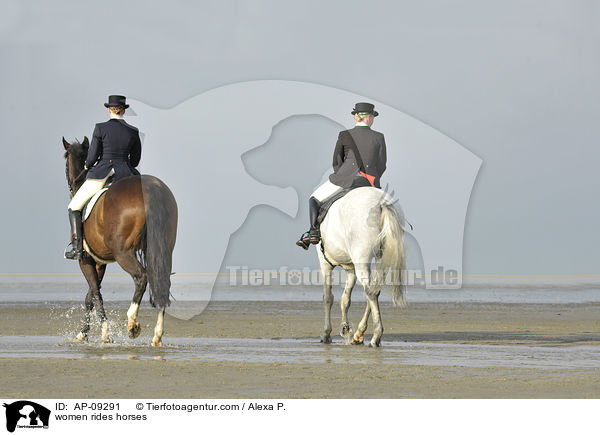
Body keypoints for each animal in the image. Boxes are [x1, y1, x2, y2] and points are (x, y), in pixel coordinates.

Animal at [64, 138, 179, 346]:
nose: (72, 186)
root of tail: (151, 189)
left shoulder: (85, 259)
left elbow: (95, 294)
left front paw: (104, 332)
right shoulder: (99, 262)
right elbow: (90, 296)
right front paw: (82, 333)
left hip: (123, 253)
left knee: (141, 277)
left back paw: (132, 323)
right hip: (165, 249)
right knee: (162, 280)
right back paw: (157, 335)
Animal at [316, 186, 406, 348]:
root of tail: (381, 203)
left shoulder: (324, 263)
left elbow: (328, 298)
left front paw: (326, 333)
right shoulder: (350, 268)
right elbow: (345, 299)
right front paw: (345, 328)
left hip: (361, 260)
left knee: (370, 292)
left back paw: (376, 336)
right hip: (380, 259)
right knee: (373, 290)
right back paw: (359, 334)